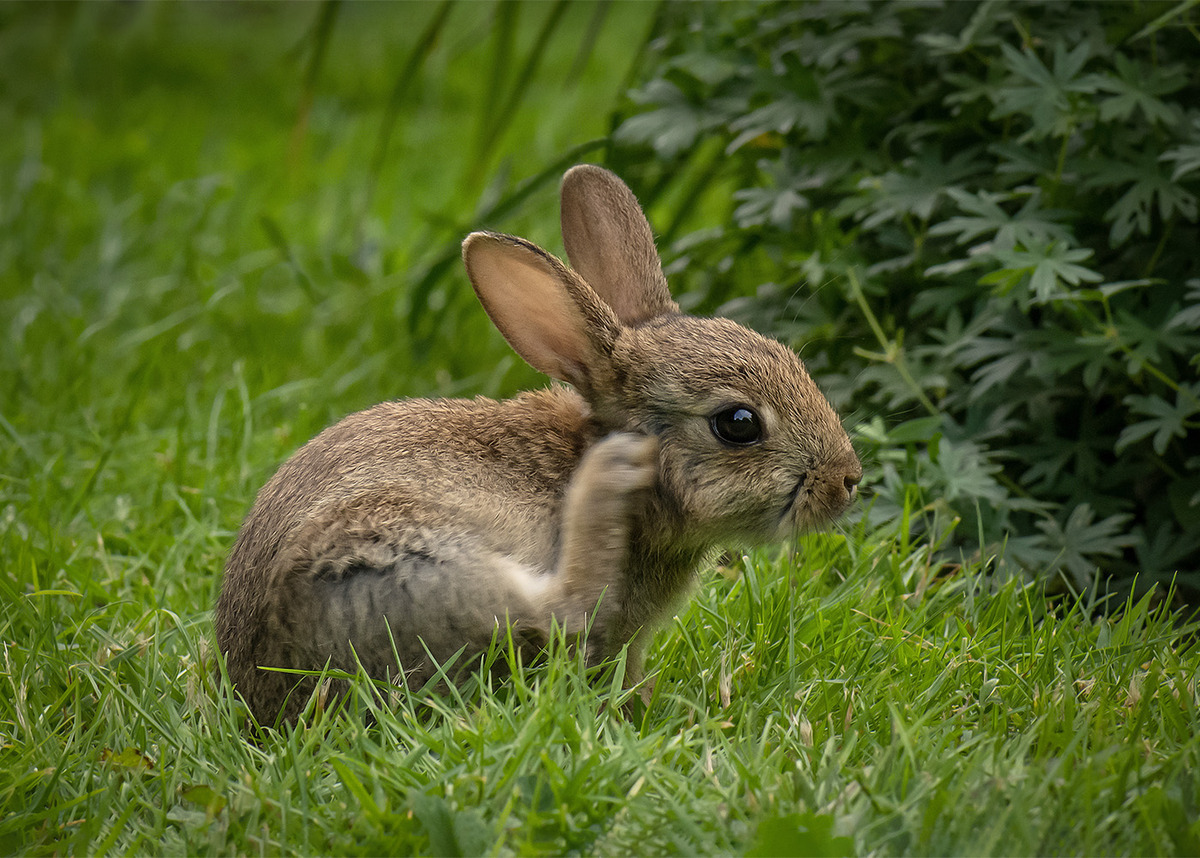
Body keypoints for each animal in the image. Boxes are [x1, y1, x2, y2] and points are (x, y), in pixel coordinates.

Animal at [216, 165, 864, 724]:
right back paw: (607, 481)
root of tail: (263, 693)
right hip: (413, 564)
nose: (847, 480)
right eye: (738, 423)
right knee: (561, 611)